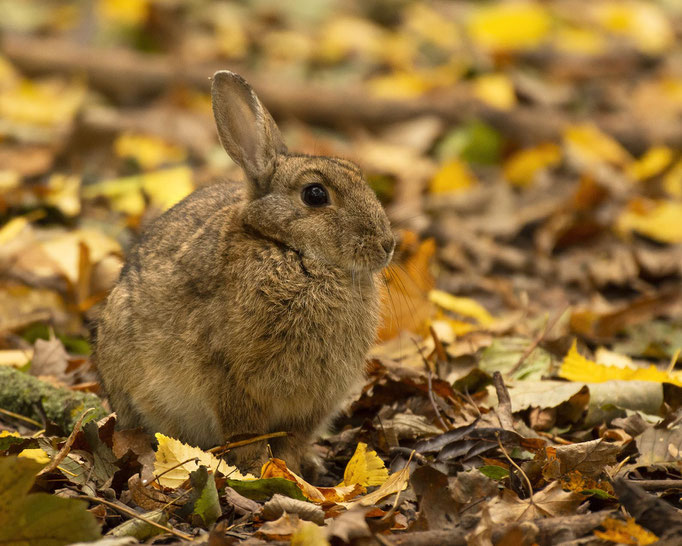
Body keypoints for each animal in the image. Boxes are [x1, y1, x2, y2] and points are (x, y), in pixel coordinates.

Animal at [95, 71, 394, 472]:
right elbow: (248, 434)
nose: (388, 245)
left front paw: (295, 470)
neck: (292, 252)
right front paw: (259, 471)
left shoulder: (313, 403)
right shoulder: (230, 379)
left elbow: (292, 441)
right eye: (315, 195)